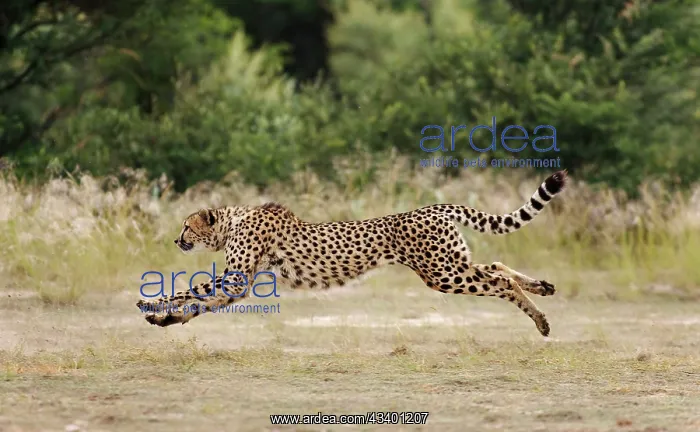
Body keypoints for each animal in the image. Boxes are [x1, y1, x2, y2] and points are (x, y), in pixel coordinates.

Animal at [136, 170, 568, 336]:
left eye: (186, 226)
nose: (176, 240)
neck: (232, 221)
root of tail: (432, 206)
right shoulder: (240, 284)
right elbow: (201, 303)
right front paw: (164, 318)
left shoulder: (237, 277)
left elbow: (192, 291)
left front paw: (153, 303)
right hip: (450, 262)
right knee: (496, 266)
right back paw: (543, 290)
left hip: (442, 273)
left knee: (498, 280)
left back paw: (542, 319)